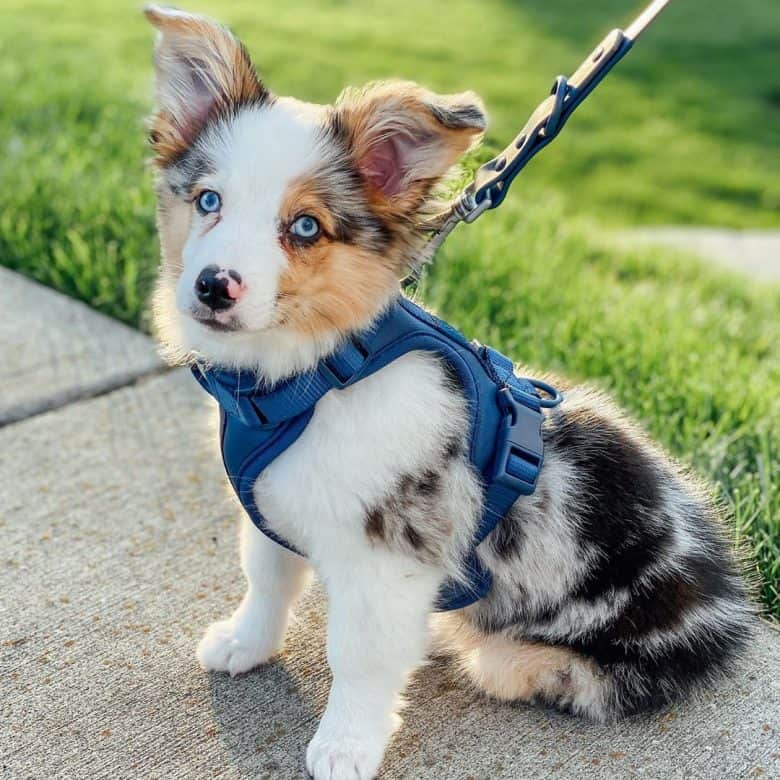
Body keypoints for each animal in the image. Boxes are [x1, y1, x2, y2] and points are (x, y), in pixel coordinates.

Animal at [143, 7, 752, 780]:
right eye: (207, 201)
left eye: (305, 226)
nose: (213, 287)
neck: (314, 376)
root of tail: (729, 608)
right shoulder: (274, 506)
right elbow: (269, 579)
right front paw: (244, 644)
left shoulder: (390, 551)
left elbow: (360, 655)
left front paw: (345, 745)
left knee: (515, 663)